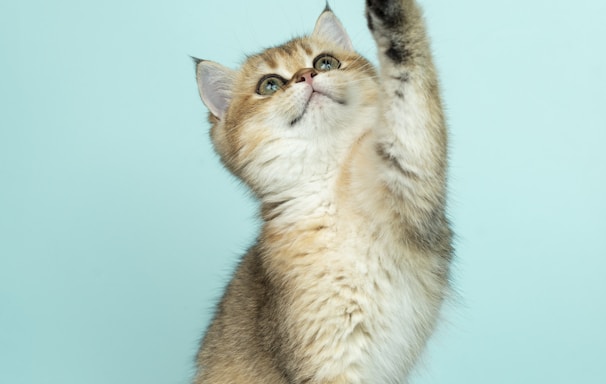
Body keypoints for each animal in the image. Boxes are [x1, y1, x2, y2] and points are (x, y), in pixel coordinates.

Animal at [192, 1, 454, 382]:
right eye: (270, 85)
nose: (306, 75)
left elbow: (410, 81)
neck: (330, 186)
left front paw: (389, 12)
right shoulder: (329, 361)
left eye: (325, 62)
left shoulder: (409, 173)